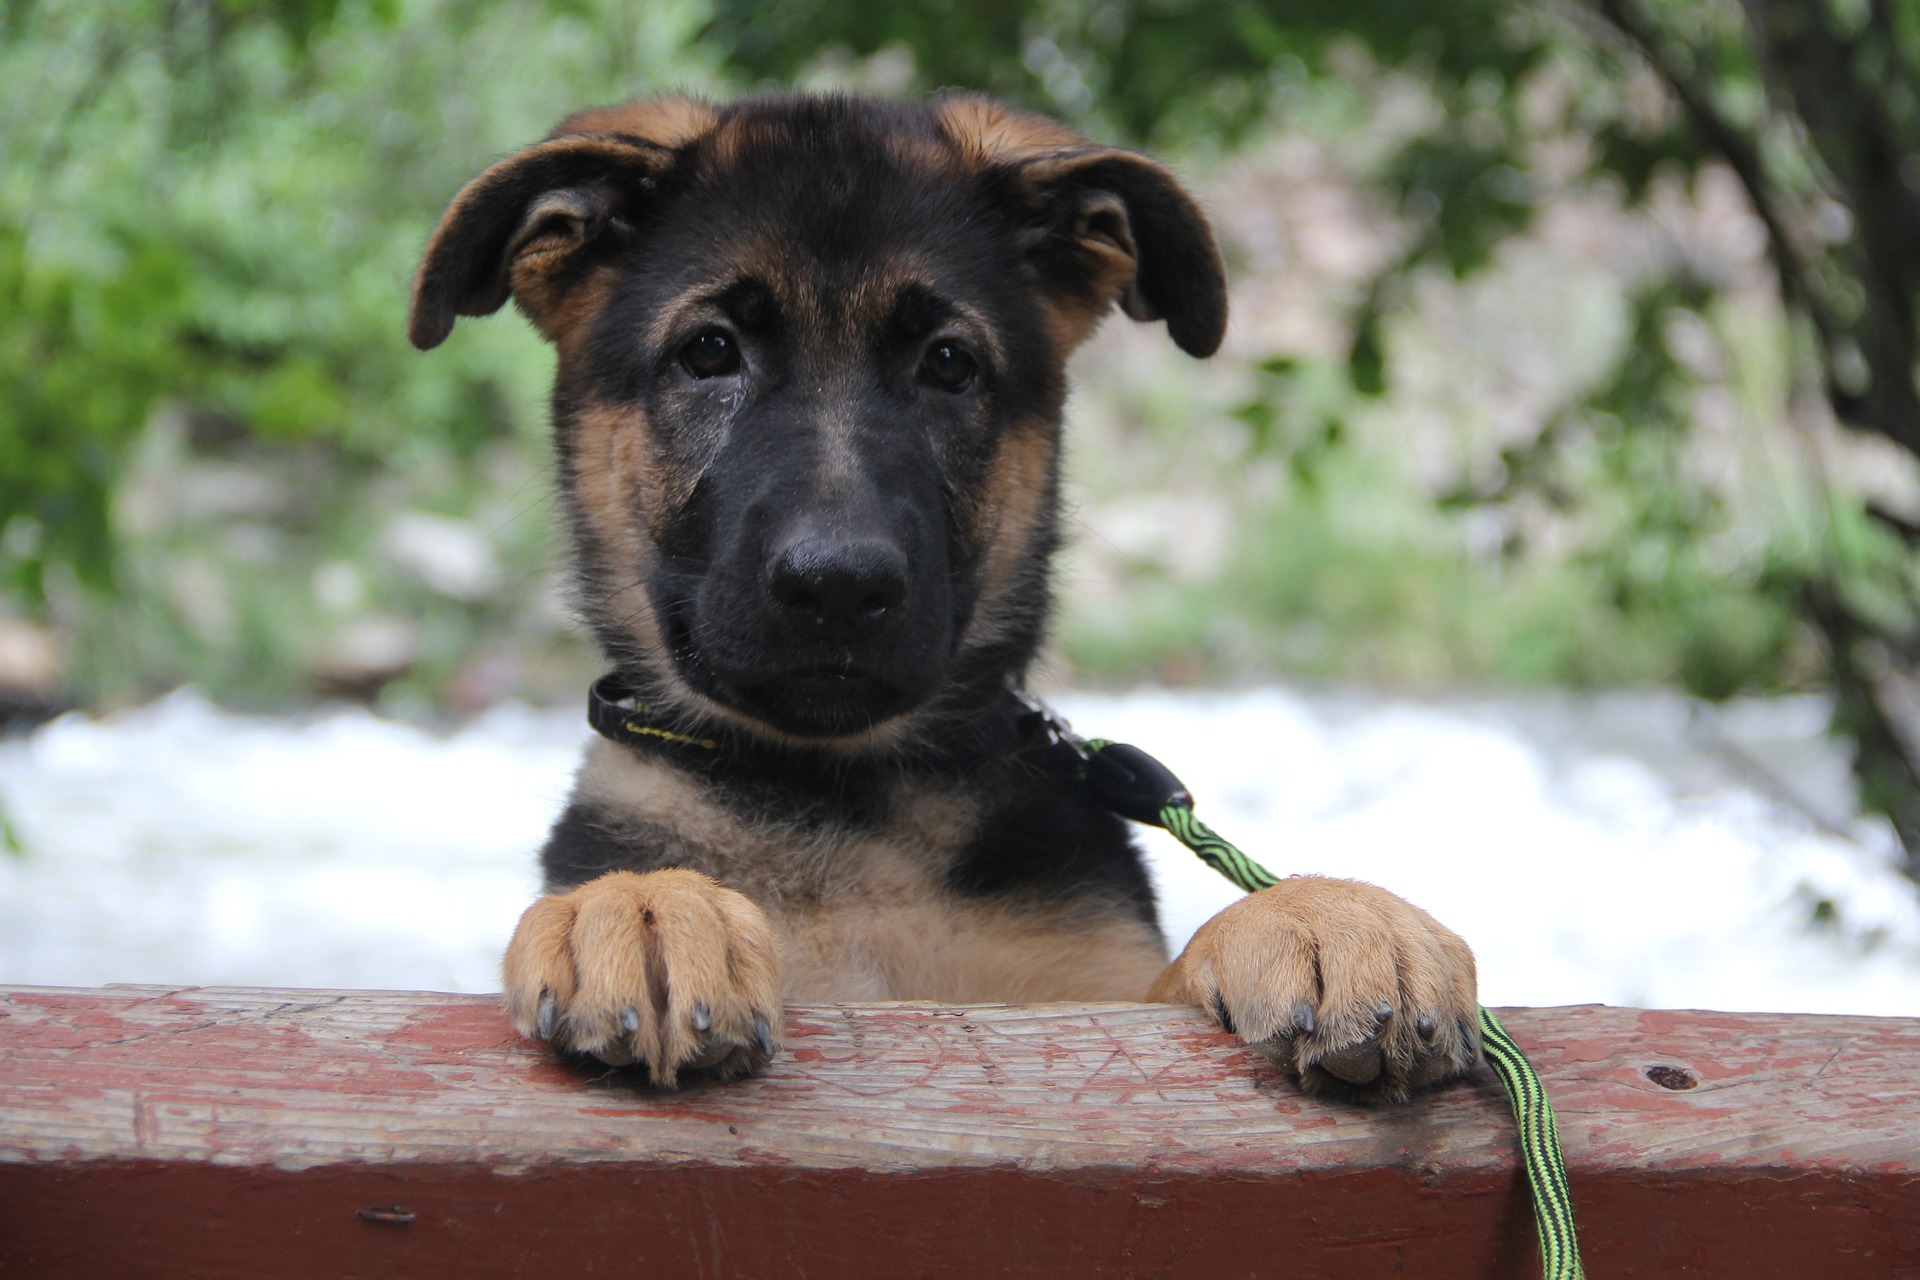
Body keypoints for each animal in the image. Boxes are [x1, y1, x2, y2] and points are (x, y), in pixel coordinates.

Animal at [412, 94, 1474, 1105]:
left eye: (950, 363)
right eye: (709, 353)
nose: (839, 585)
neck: (841, 801)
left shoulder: (1087, 1001)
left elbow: (1171, 979)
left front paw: (1322, 914)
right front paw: (644, 906)